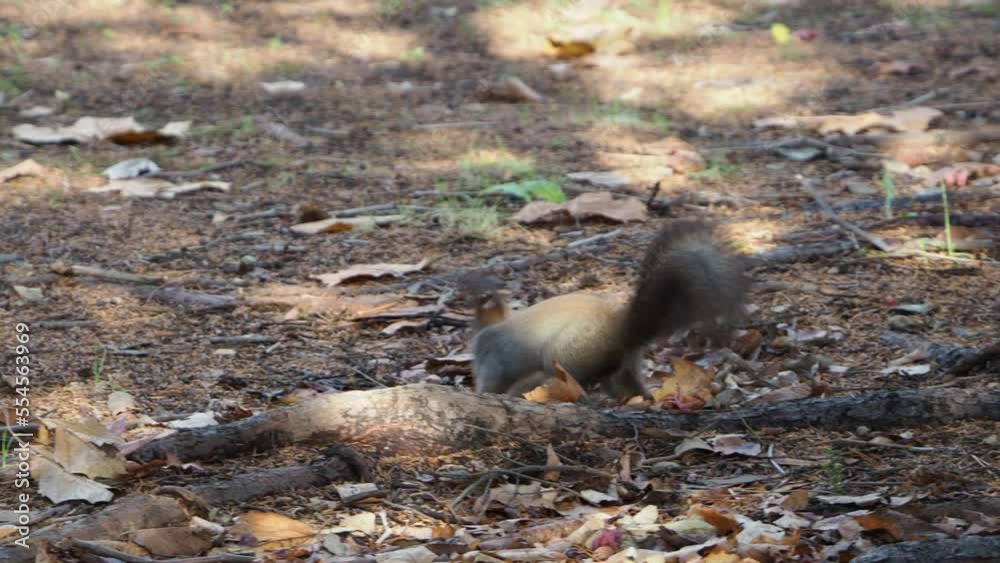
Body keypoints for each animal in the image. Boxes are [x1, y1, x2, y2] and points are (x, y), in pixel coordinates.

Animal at [466, 220, 749, 401]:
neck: (492, 326)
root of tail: (622, 330)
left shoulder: (491, 359)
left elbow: (489, 385)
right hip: (625, 364)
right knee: (627, 386)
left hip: (567, 352)